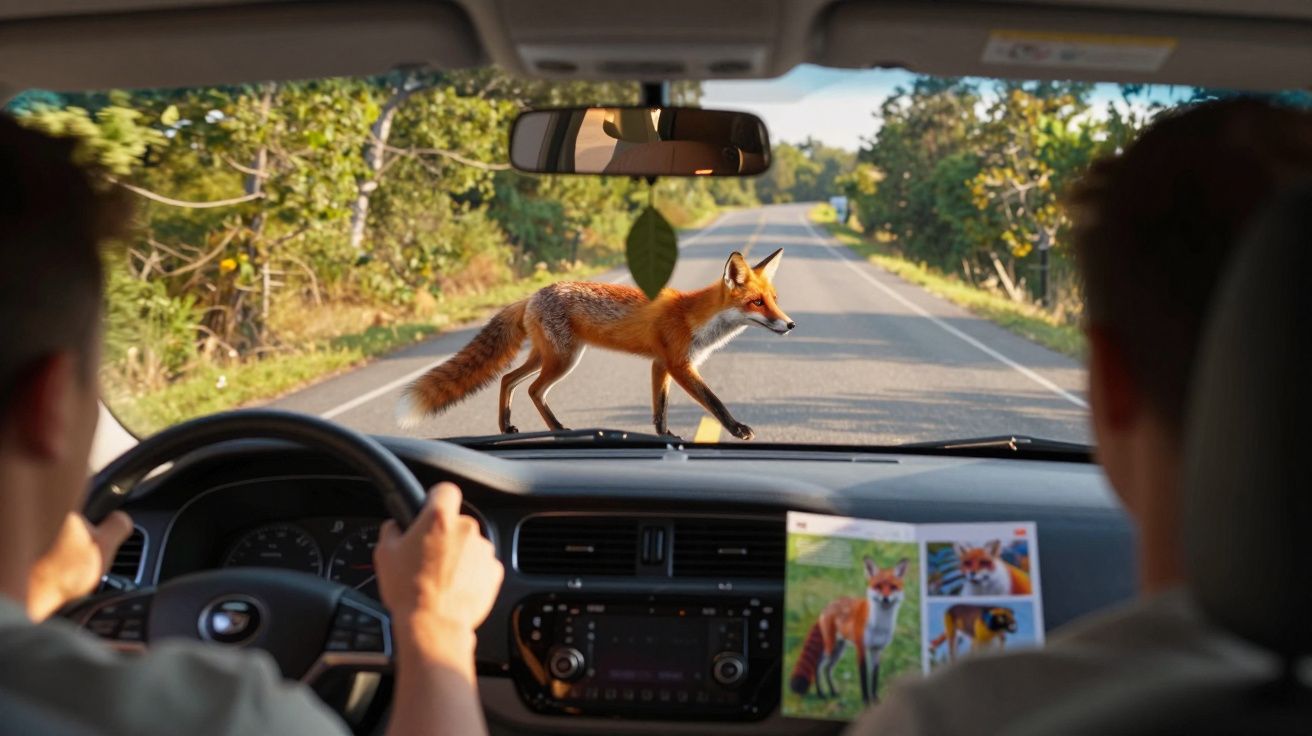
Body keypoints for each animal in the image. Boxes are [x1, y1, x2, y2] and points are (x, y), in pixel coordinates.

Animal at [396, 249, 794, 439]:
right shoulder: (680, 364)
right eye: (757, 303)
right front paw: (737, 428)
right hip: (563, 359)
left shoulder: (660, 365)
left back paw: (508, 427)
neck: (694, 317)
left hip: (547, 356)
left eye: (774, 299)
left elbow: (660, 409)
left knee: (509, 379)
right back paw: (556, 430)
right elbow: (714, 401)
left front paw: (665, 436)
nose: (790, 324)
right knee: (533, 390)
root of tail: (532, 295)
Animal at [789, 557, 909, 705]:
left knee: (828, 669)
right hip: (830, 647)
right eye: (878, 586)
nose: (885, 599)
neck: (879, 625)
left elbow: (874, 677)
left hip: (839, 650)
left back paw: (833, 692)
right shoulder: (861, 647)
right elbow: (863, 677)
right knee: (818, 666)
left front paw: (875, 699)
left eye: (893, 587)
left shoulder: (877, 650)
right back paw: (821, 694)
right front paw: (866, 701)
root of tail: (828, 606)